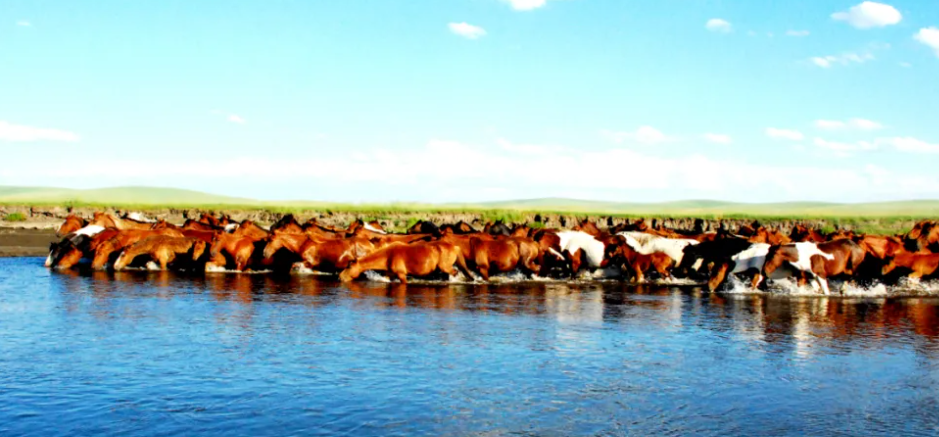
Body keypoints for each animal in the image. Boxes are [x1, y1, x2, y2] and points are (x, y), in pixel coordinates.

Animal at [338, 238, 474, 282]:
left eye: (348, 266)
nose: (340, 277)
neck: (388, 255)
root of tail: (454, 246)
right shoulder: (389, 274)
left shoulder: (402, 275)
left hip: (445, 267)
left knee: (455, 273)